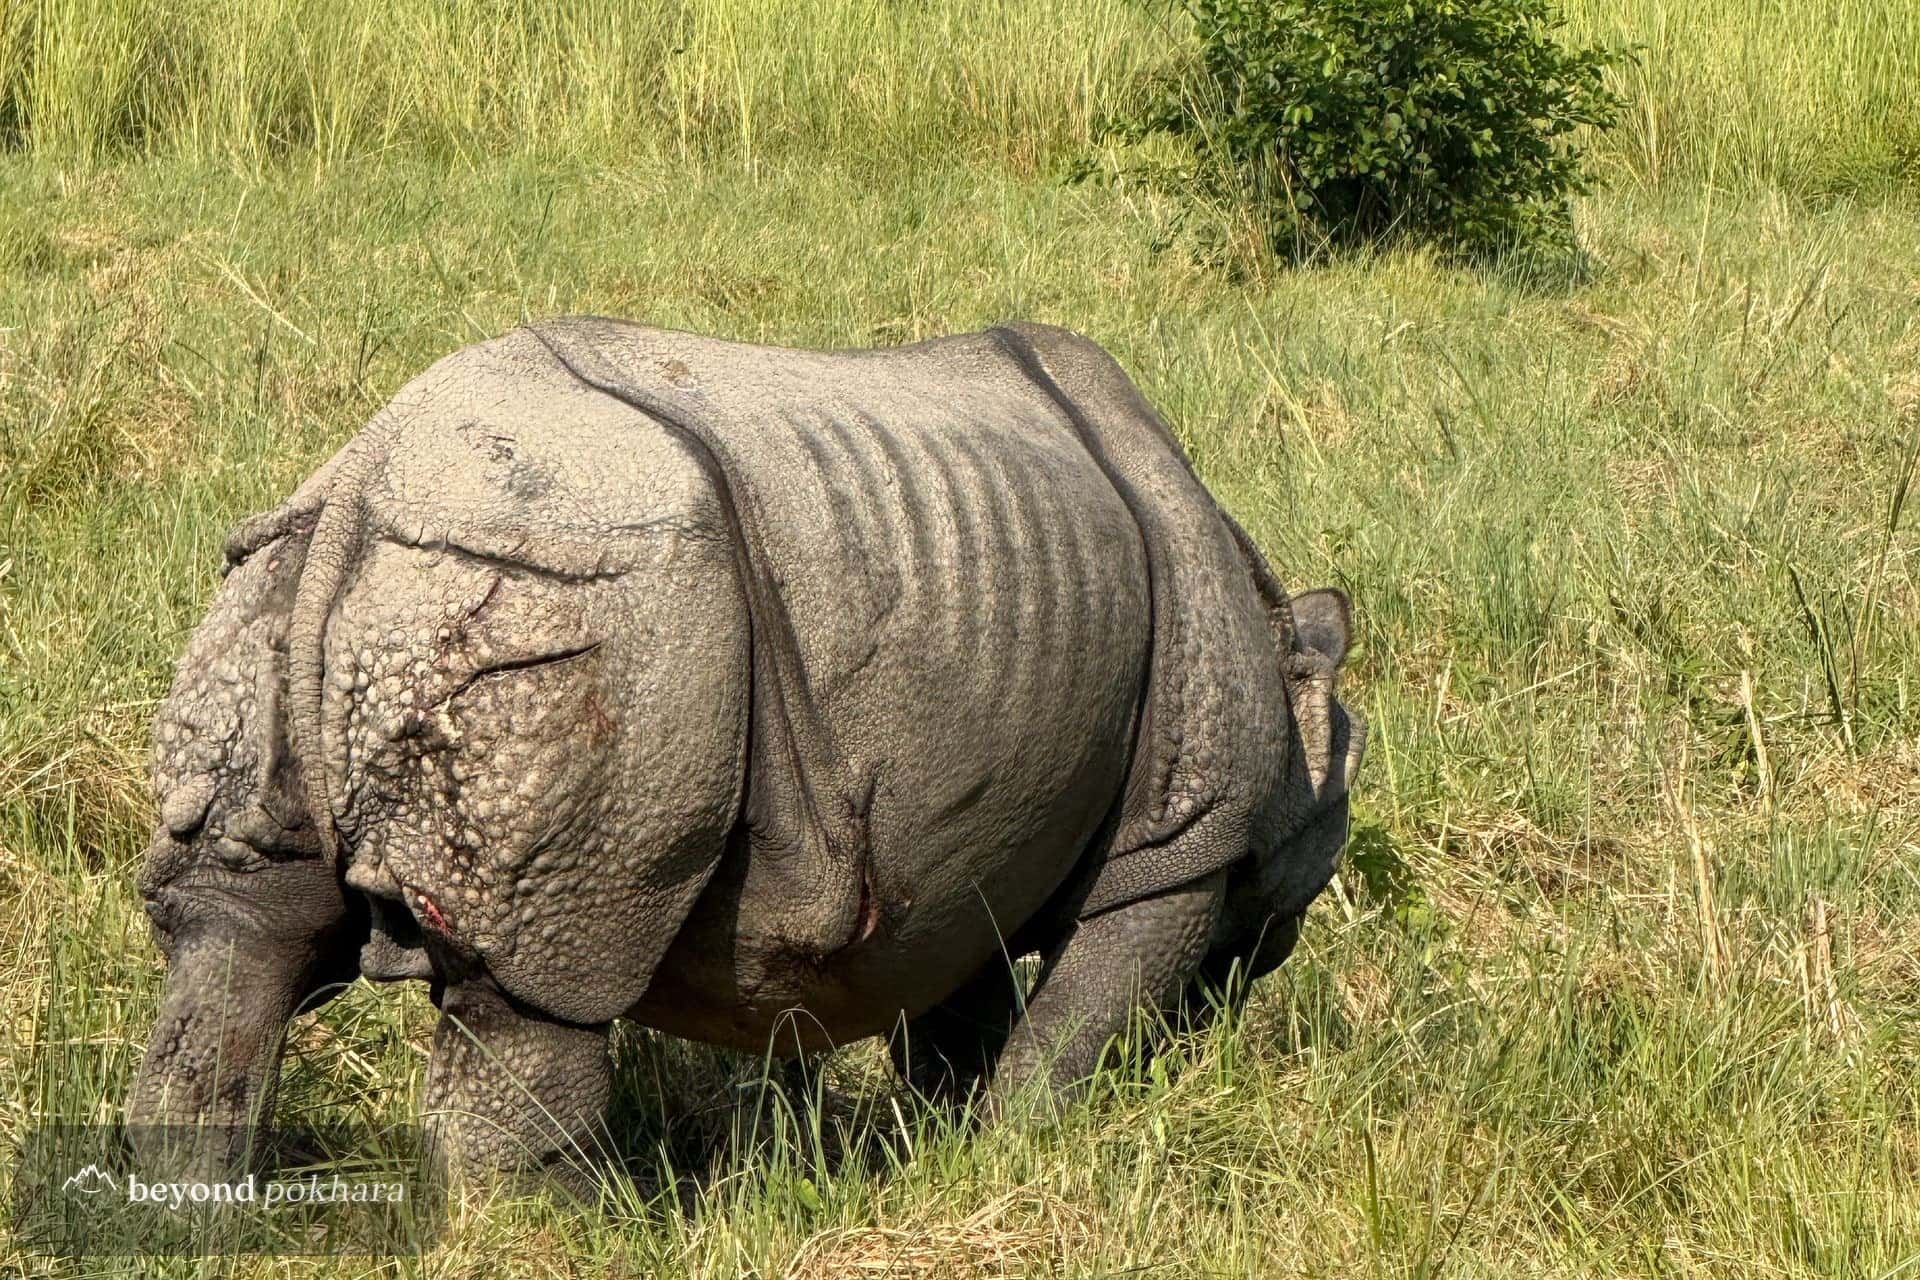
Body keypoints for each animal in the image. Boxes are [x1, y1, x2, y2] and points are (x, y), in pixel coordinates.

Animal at [128, 318, 1364, 1177]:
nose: (1252, 979)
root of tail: (363, 479)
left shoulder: (973, 836)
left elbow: (957, 1004)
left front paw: (943, 1146)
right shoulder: (1183, 835)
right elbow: (1084, 1019)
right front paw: (1020, 1149)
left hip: (292, 576)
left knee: (240, 926)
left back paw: (185, 1203)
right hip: (589, 602)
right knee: (536, 984)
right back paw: (575, 1222)